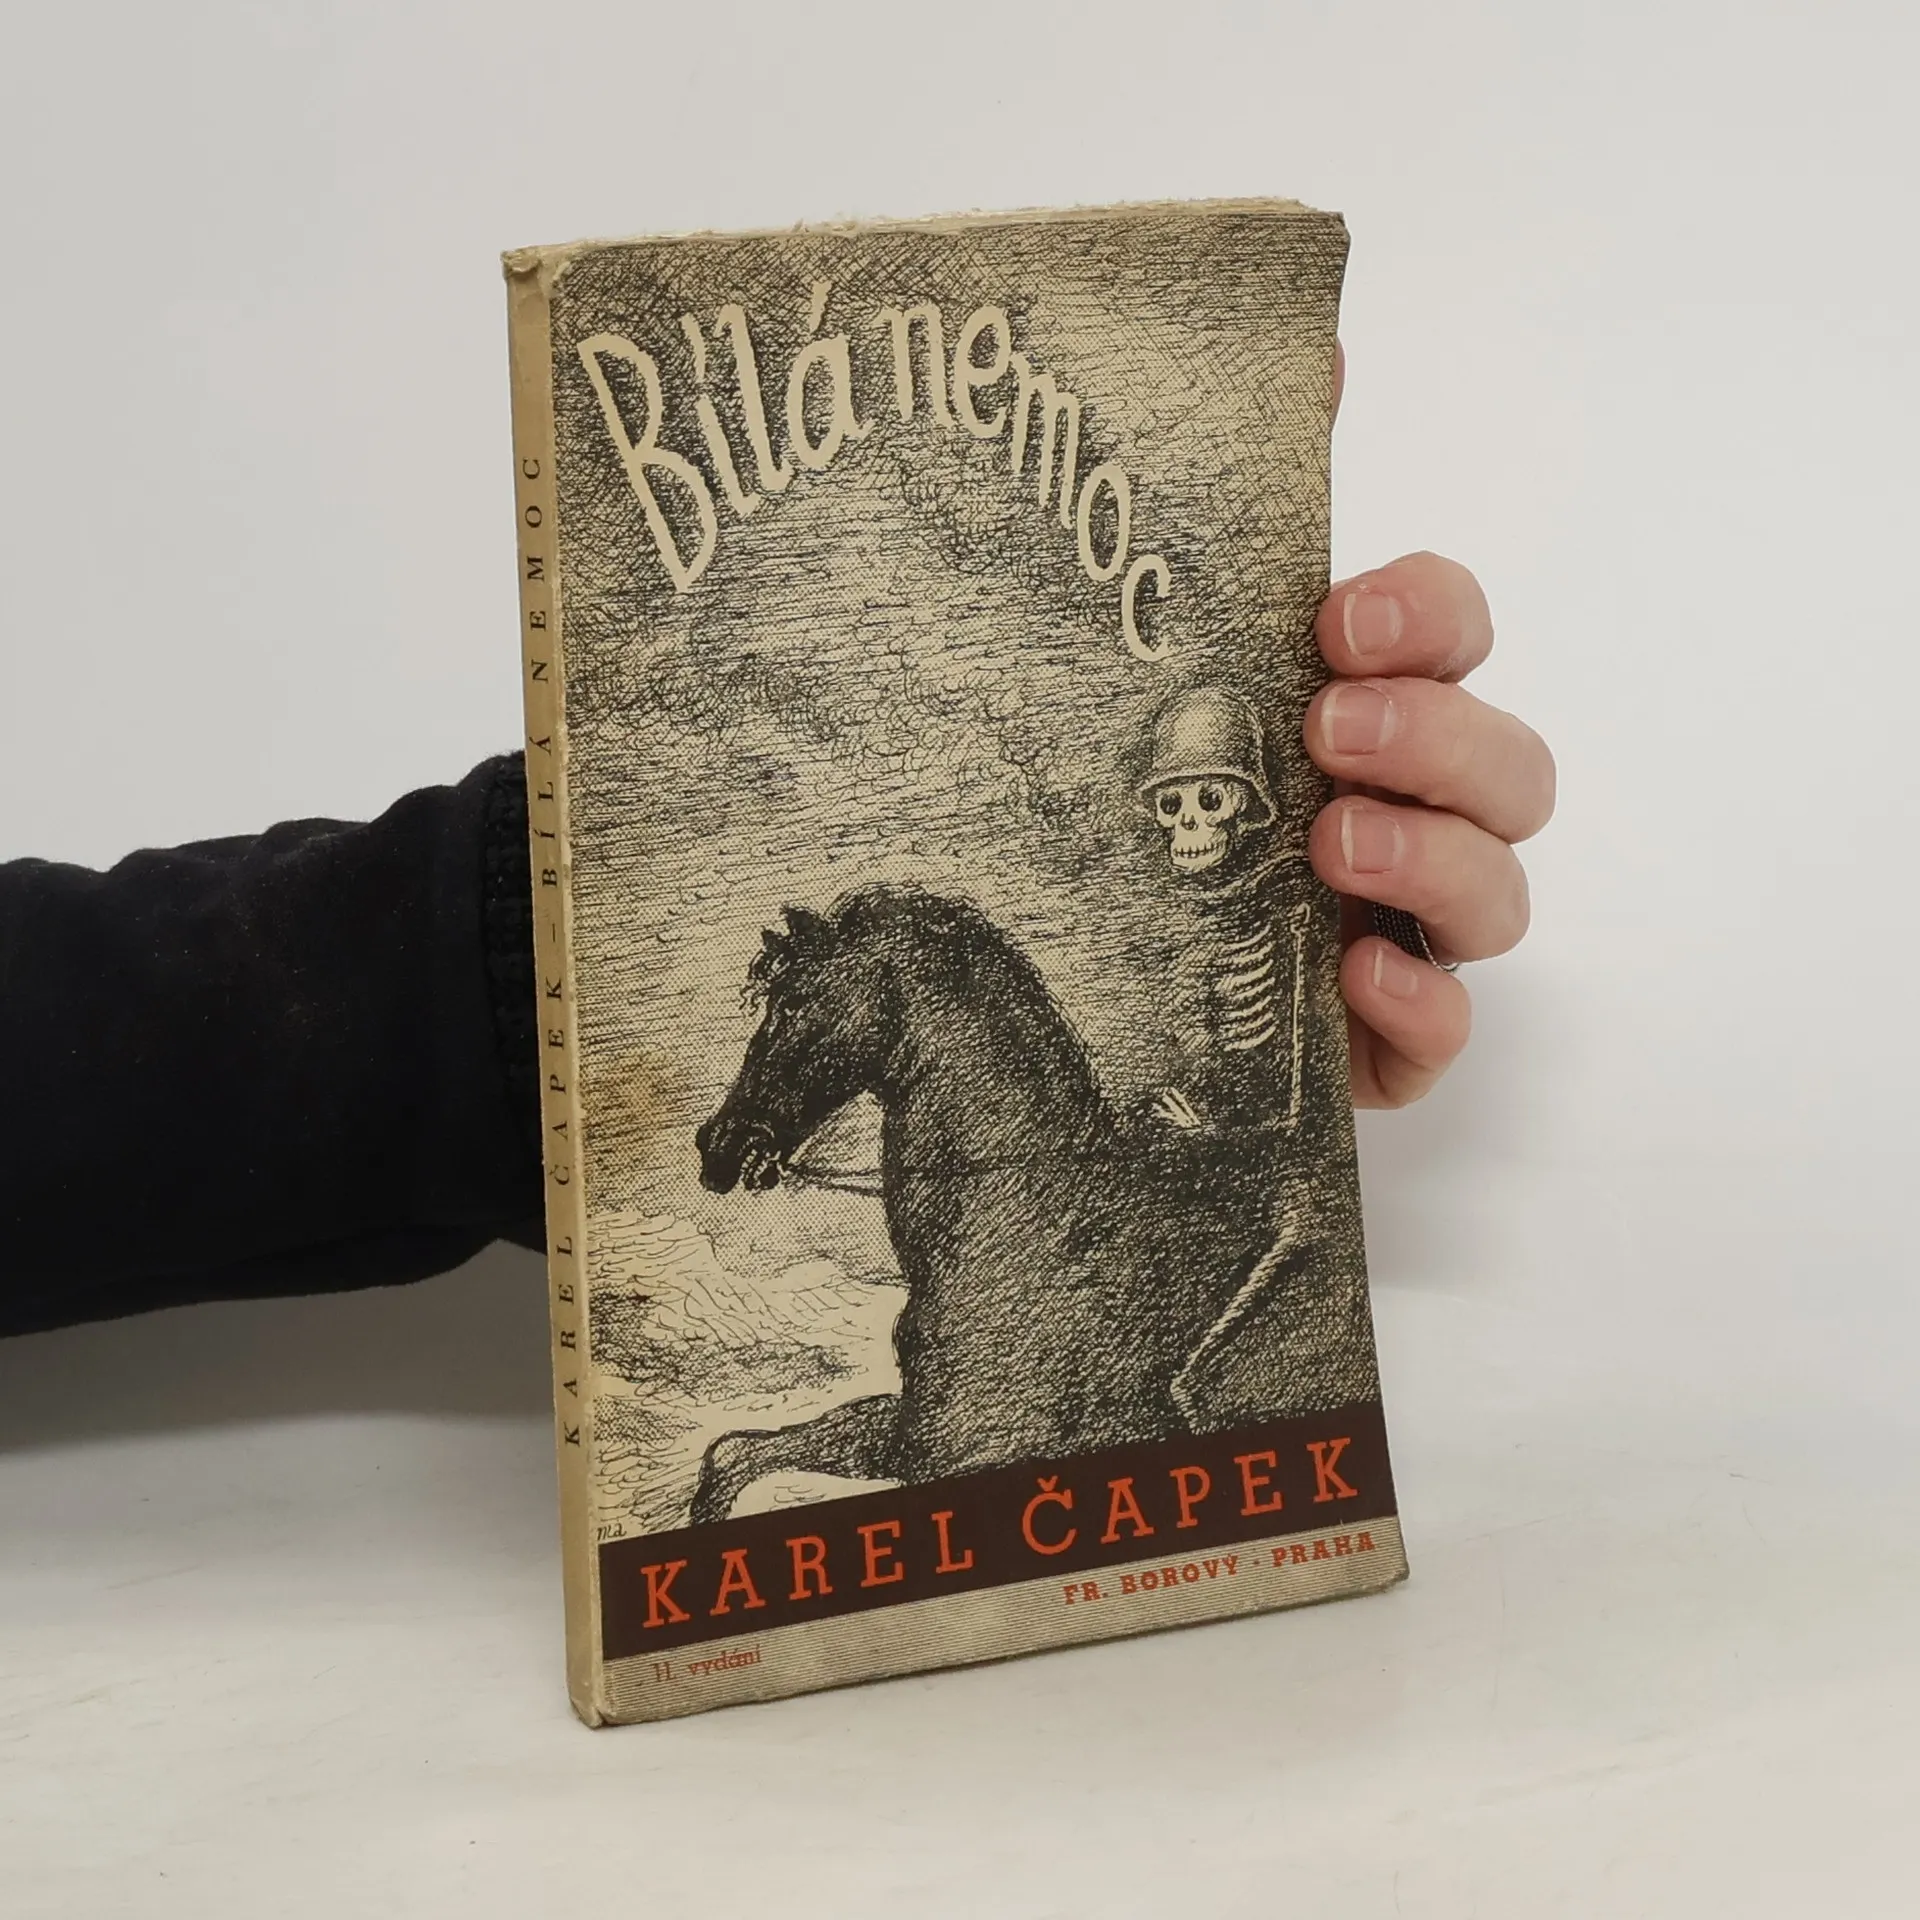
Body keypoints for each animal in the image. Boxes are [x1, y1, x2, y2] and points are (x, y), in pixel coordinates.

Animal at [689, 885, 1294, 1523]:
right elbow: (740, 1451)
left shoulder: (976, 1446)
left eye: (793, 1002)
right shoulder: (920, 1434)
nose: (719, 1144)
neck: (1038, 1222)